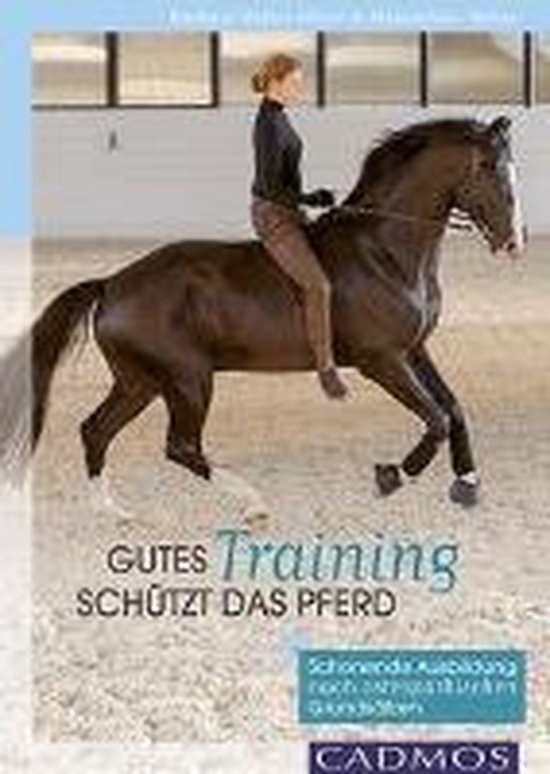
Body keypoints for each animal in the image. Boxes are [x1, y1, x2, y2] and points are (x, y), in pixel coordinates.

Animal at [0, 115, 525, 513]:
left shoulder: (415, 349)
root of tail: (111, 284)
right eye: (488, 168)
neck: (384, 250)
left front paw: (467, 484)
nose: (513, 242)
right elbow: (435, 418)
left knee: (96, 430)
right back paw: (252, 503)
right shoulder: (382, 360)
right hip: (188, 379)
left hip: (141, 382)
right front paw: (392, 475)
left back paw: (112, 511)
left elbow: (453, 409)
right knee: (180, 446)